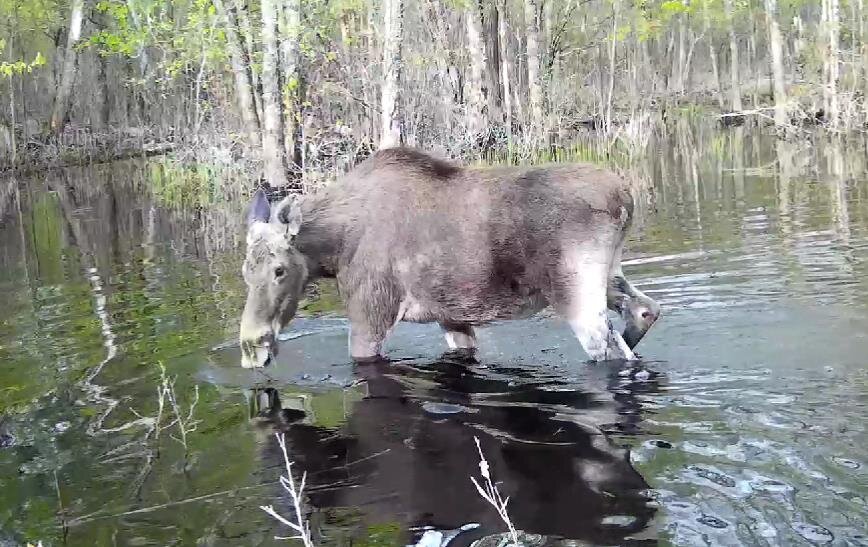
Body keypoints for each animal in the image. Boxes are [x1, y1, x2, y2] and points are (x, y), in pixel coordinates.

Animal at [237, 149, 656, 368]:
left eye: (279, 270)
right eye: (245, 272)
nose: (252, 345)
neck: (332, 249)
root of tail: (625, 199)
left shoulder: (370, 316)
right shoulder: (451, 315)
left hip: (575, 292)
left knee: (611, 349)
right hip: (608, 276)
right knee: (644, 308)